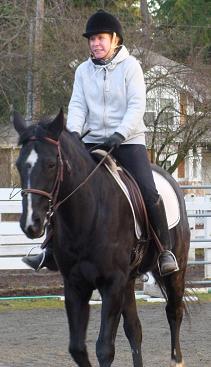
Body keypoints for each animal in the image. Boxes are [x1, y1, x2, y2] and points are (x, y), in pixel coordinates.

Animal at [14, 110, 190, 367]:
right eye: (18, 165)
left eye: (51, 164)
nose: (31, 223)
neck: (89, 215)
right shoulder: (75, 284)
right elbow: (78, 348)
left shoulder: (112, 283)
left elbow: (105, 348)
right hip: (129, 281)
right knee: (134, 330)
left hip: (174, 272)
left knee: (174, 313)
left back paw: (177, 360)